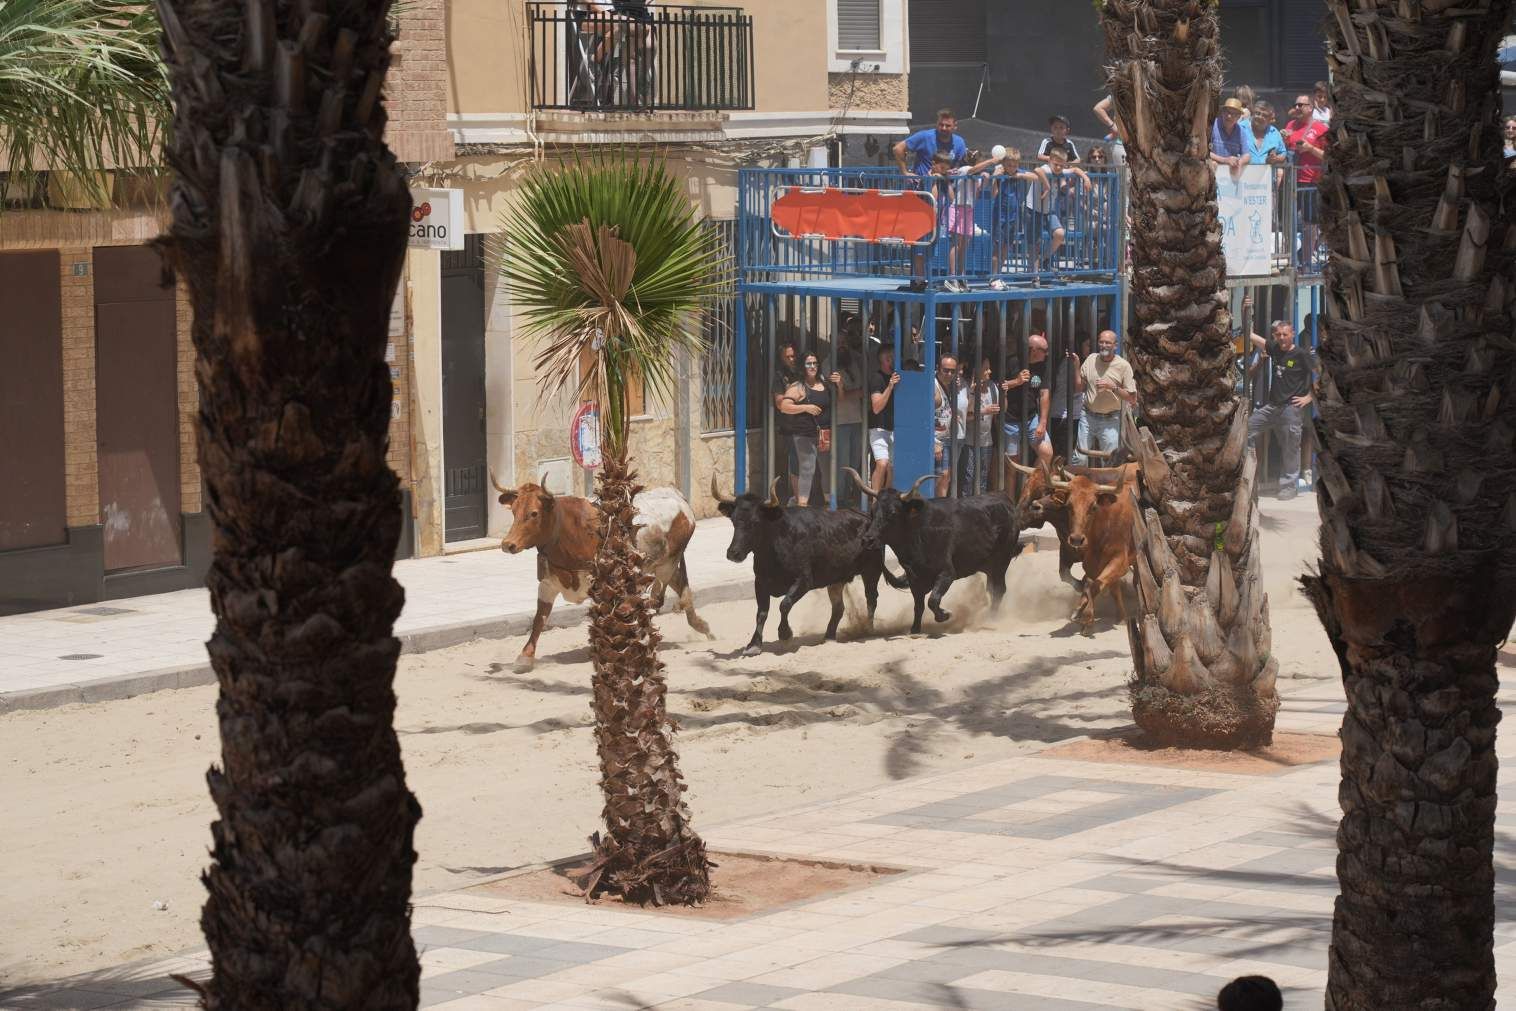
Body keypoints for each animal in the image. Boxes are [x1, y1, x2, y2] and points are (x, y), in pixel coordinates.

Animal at [491, 475, 715, 672]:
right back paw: (703, 628)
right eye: (514, 511)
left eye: (534, 513)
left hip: (667, 564)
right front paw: (524, 658)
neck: (567, 530)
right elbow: (539, 619)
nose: (508, 544)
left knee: (656, 601)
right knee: (681, 588)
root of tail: (676, 496)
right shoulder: (548, 583)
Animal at [712, 482, 909, 657]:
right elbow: (761, 613)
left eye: (755, 522)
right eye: (733, 520)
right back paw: (828, 636)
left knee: (871, 599)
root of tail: (869, 521)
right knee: (839, 607)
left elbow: (784, 604)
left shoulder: (804, 580)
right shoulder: (760, 582)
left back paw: (868, 630)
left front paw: (785, 635)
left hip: (871, 571)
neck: (777, 540)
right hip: (836, 580)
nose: (733, 553)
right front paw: (754, 645)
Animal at [848, 469, 1024, 633]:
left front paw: (945, 615)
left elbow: (932, 600)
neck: (918, 532)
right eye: (872, 511)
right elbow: (918, 605)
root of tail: (1004, 497)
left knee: (999, 590)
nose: (868, 539)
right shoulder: (914, 579)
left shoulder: (947, 573)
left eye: (892, 512)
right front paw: (915, 629)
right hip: (989, 567)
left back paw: (991, 619)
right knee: (992, 589)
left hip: (1001, 562)